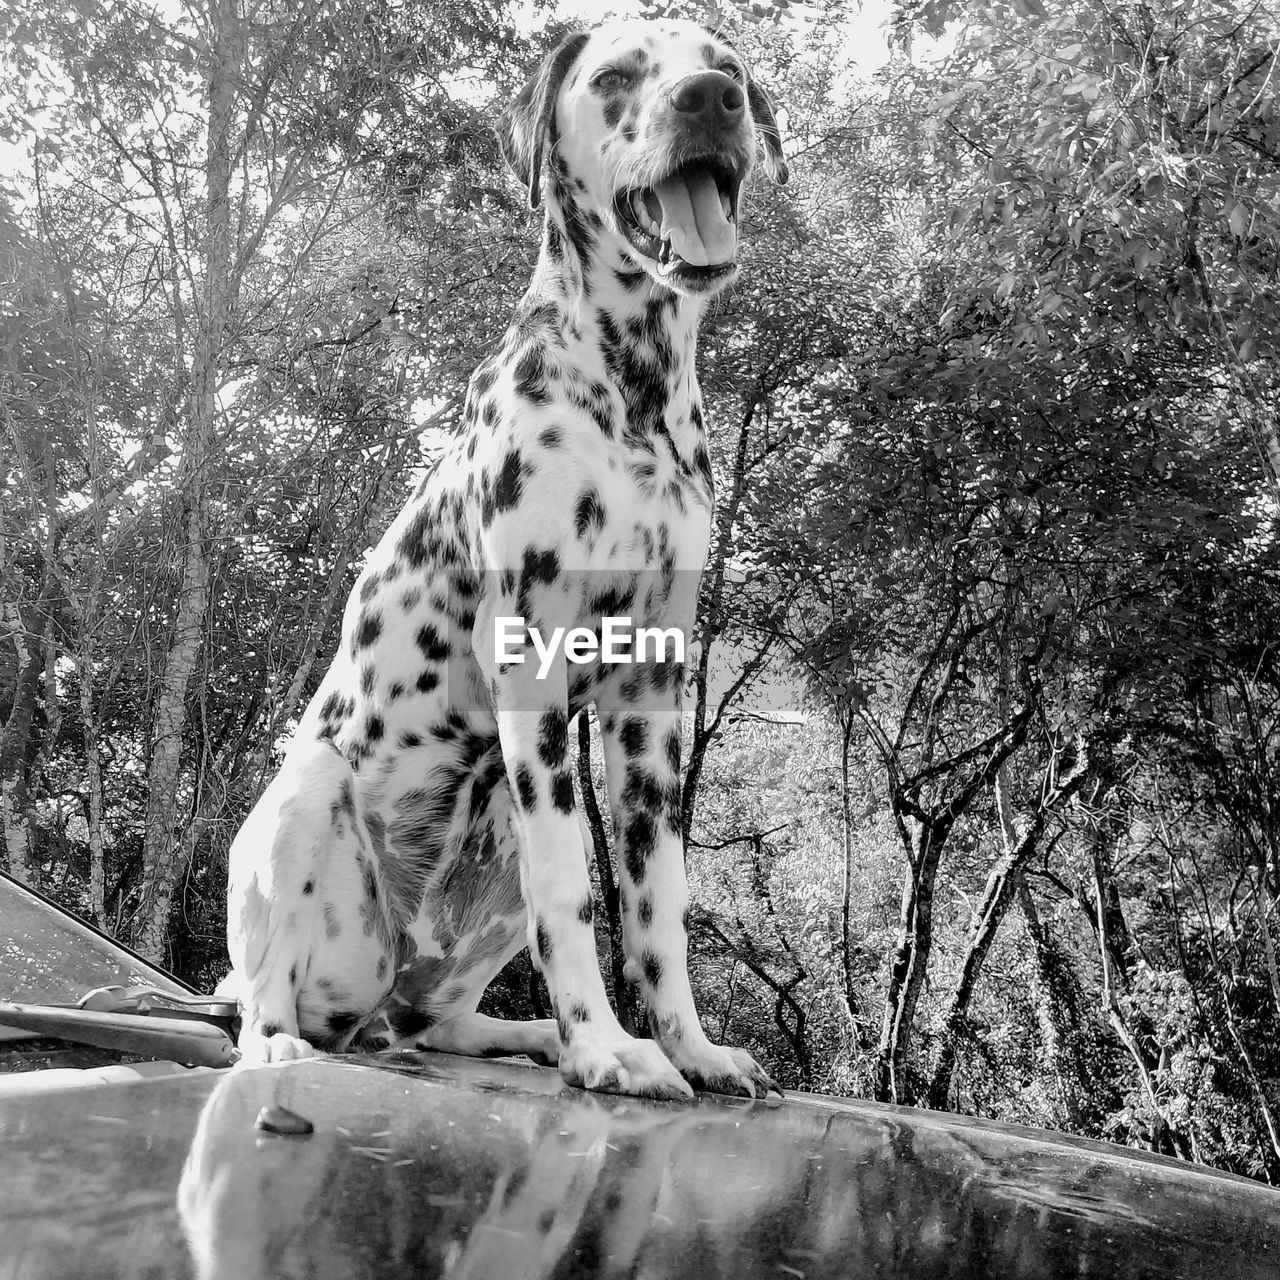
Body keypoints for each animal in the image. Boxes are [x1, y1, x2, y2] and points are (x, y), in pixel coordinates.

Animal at [227, 17, 788, 1100]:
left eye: (726, 65)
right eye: (615, 76)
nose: (709, 100)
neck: (631, 392)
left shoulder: (650, 701)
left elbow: (655, 907)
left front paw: (685, 1046)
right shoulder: (532, 666)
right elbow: (574, 895)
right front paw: (608, 1047)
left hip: (484, 876)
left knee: (438, 1019)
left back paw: (527, 1034)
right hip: (306, 801)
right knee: (268, 988)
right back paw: (279, 1040)